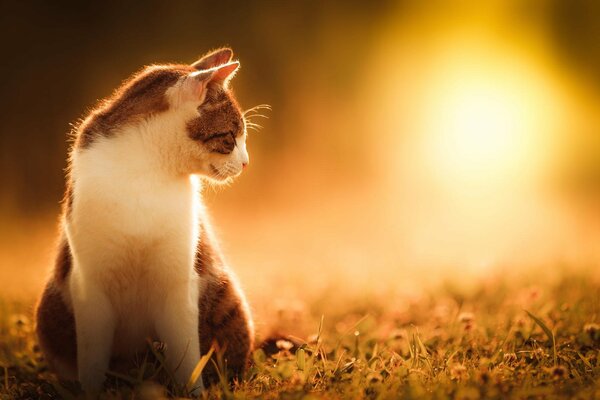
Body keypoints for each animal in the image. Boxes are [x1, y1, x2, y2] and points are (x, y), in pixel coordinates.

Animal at [34, 48, 255, 396]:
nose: (246, 163)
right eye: (230, 137)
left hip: (227, 298)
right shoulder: (90, 285)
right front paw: (92, 392)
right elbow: (92, 360)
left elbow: (185, 355)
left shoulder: (178, 280)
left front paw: (192, 393)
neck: (148, 170)